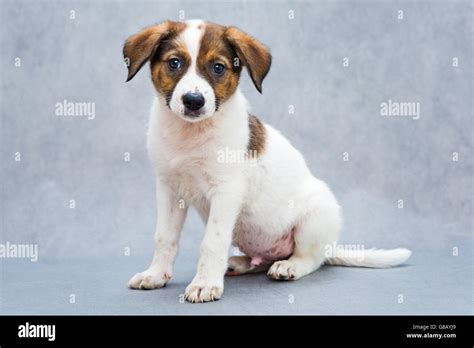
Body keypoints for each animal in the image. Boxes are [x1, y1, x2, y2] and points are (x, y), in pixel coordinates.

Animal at [123, 19, 412, 302]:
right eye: (174, 63)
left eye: (218, 67)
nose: (194, 101)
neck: (190, 134)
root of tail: (331, 247)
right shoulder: (169, 189)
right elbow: (164, 237)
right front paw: (156, 274)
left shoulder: (226, 191)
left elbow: (212, 242)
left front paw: (204, 284)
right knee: (261, 261)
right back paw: (238, 263)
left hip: (315, 218)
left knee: (312, 259)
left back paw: (289, 266)